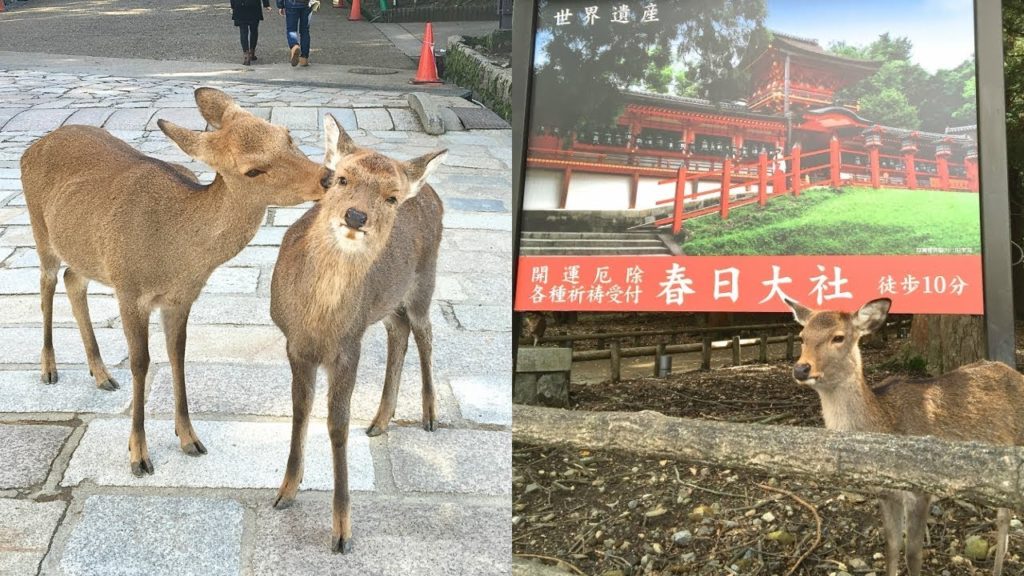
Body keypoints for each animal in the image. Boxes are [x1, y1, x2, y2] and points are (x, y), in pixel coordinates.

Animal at [20, 87, 331, 477]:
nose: (327, 177)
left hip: (84, 251)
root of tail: (31, 148)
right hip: (40, 230)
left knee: (72, 278)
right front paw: (138, 455)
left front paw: (190, 438)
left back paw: (102, 374)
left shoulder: (180, 299)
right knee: (46, 282)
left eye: (287, 135)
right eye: (253, 170)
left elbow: (177, 355)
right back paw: (49, 369)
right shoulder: (130, 290)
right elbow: (141, 363)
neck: (175, 257)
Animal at [268, 114, 446, 553]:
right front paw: (285, 491)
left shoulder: (348, 346)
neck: (318, 320)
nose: (355, 217)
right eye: (340, 179)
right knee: (399, 331)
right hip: (387, 303)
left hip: (424, 282)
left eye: (391, 197)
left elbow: (337, 425)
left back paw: (430, 415)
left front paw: (341, 533)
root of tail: (429, 189)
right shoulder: (295, 346)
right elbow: (300, 411)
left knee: (425, 331)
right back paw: (381, 419)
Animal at [785, 297, 1023, 576]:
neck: (886, 422)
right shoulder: (886, 494)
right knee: (1004, 514)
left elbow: (912, 554)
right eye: (802, 336)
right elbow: (891, 545)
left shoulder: (920, 490)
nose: (801, 369)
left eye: (838, 337)